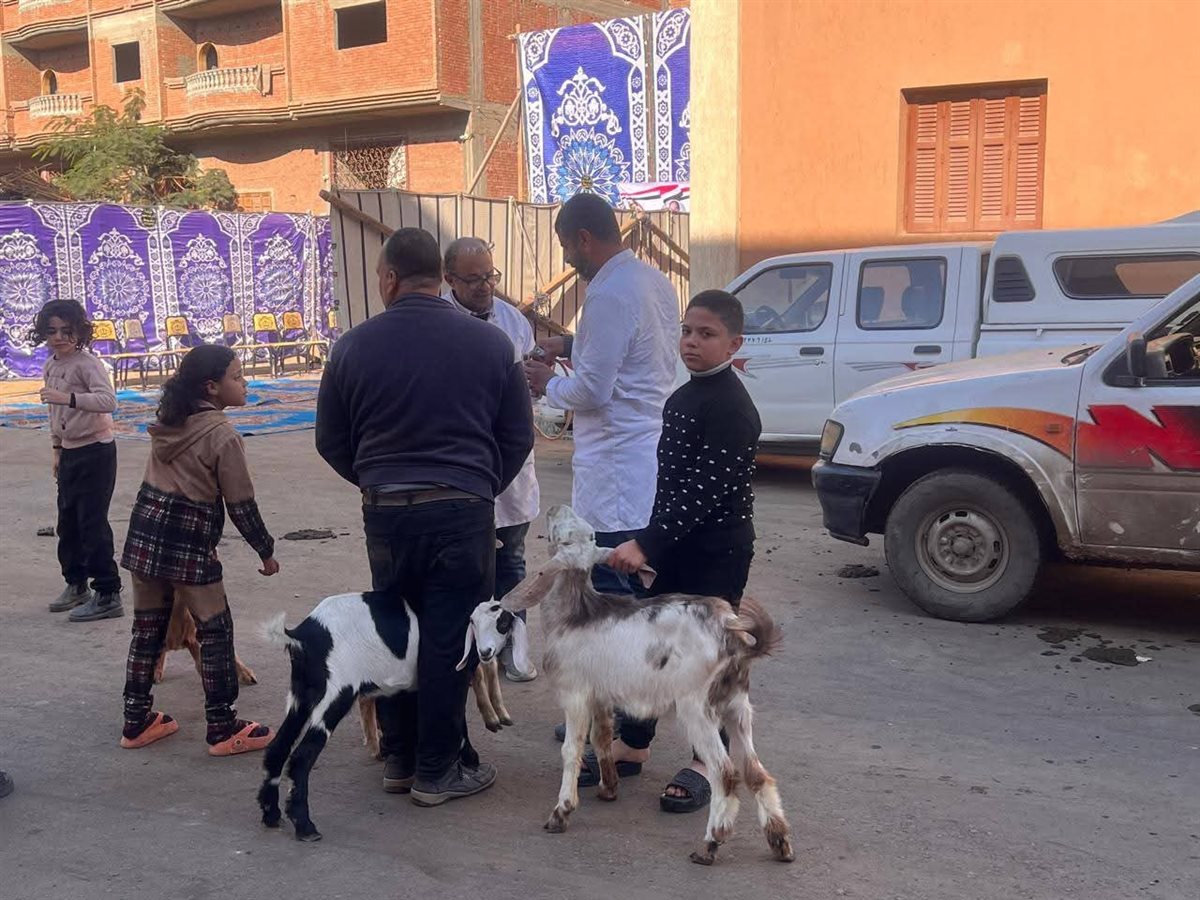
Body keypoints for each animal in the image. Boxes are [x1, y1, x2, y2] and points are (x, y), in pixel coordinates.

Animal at [256, 593, 529, 841]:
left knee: (278, 747)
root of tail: (301, 636)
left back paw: (271, 814)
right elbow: (456, 717)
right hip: (335, 693)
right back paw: (305, 826)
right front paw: (471, 759)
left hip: (301, 694)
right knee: (301, 757)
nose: (486, 652)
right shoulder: (452, 676)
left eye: (502, 623)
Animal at [502, 505, 794, 866]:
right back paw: (780, 842)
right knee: (756, 772)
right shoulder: (601, 695)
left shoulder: (575, 694)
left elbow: (571, 749)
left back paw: (710, 844)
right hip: (737, 704)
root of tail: (730, 630)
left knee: (725, 773)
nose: (555, 508)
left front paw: (561, 812)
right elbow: (601, 739)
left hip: (697, 707)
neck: (575, 613)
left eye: (563, 536)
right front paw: (608, 788)